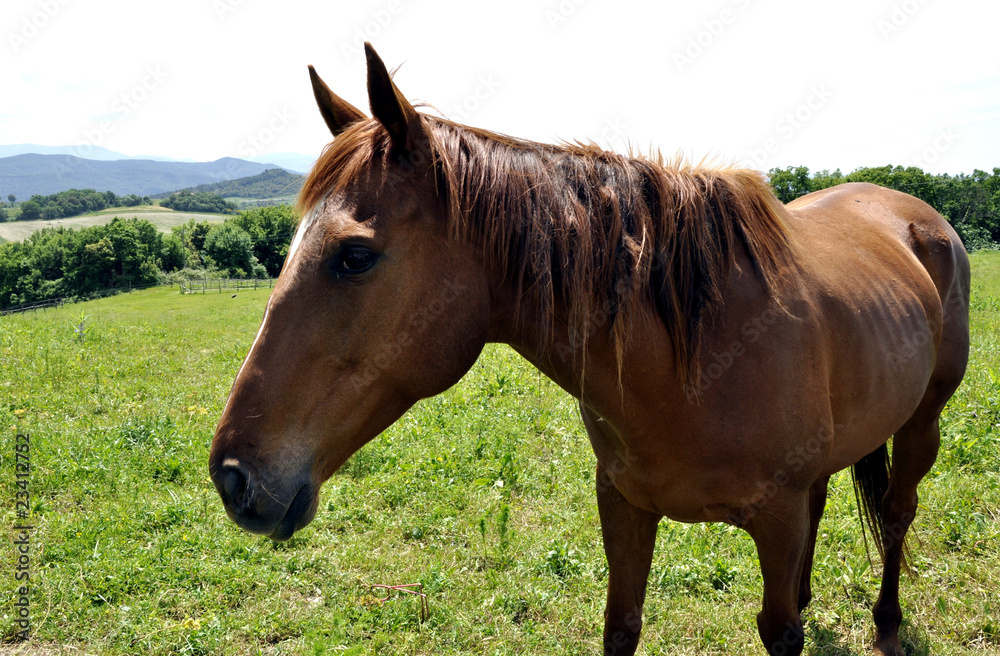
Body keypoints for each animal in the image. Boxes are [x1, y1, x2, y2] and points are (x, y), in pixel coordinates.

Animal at [210, 43, 970, 656]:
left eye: (354, 255)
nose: (232, 477)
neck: (693, 356)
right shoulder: (623, 504)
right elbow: (622, 625)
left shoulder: (774, 522)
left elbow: (780, 629)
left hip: (922, 424)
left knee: (897, 516)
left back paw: (888, 625)